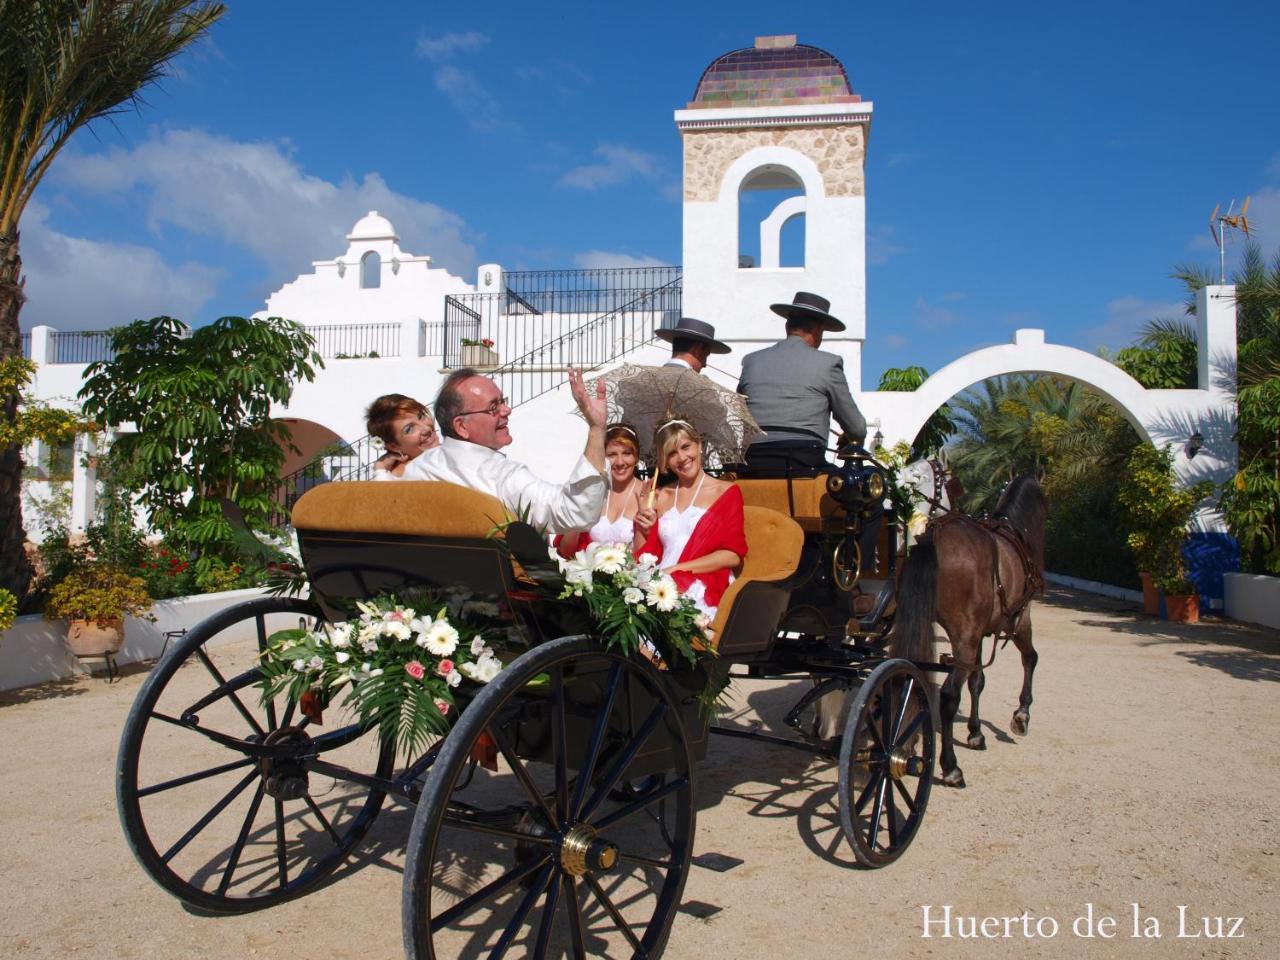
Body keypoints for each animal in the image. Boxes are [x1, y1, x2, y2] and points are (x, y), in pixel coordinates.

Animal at [890, 473, 1049, 788]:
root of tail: (935, 535)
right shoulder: (1020, 620)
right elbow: (1031, 659)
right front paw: (1021, 715)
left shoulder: (981, 632)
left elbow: (978, 681)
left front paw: (976, 732)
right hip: (965, 634)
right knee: (949, 694)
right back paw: (950, 767)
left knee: (911, 679)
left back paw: (907, 743)